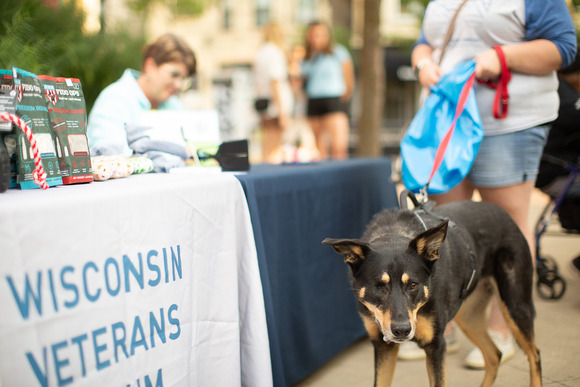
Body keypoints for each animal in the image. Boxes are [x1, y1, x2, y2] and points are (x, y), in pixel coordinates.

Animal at [324, 199, 540, 386]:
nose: (402, 330)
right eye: (379, 286)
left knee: (534, 354)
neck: (394, 233)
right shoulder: (383, 345)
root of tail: (504, 213)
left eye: (413, 284)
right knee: (494, 355)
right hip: (469, 315)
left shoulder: (436, 346)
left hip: (515, 306)